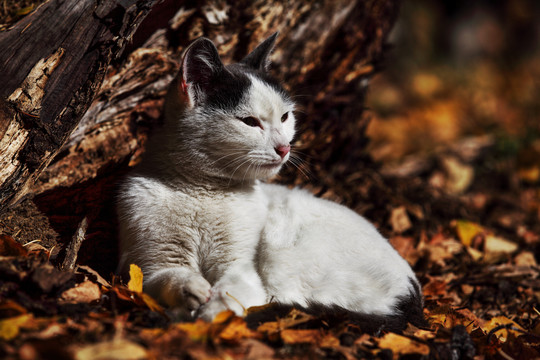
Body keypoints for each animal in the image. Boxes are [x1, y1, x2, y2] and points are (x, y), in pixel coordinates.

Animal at [118, 33, 426, 332]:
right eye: (250, 122)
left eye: (285, 117)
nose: (284, 147)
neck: (202, 192)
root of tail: (412, 296)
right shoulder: (152, 265)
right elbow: (164, 280)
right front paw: (191, 291)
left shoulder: (240, 269)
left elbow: (229, 295)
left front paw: (209, 316)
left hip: (280, 249)